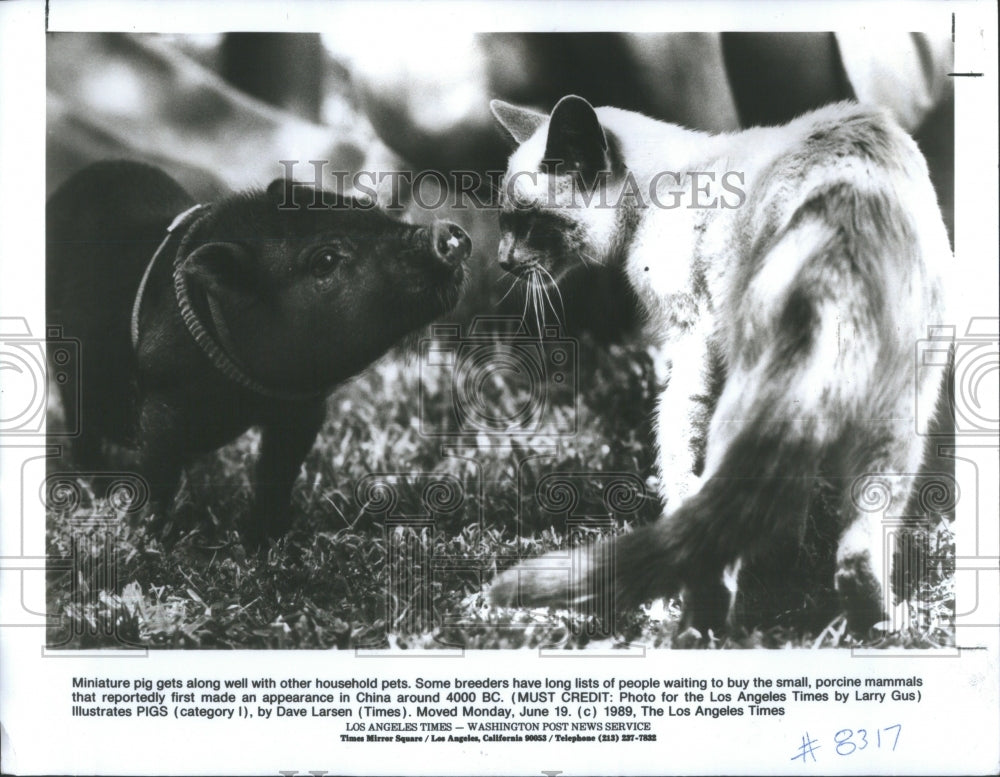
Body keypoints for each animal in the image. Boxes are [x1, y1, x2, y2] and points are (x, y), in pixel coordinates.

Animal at [46, 158, 468, 544]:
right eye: (325, 259)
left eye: (372, 211)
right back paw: (99, 485)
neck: (247, 393)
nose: (447, 232)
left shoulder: (303, 409)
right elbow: (160, 477)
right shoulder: (161, 402)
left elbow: (277, 474)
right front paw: (150, 540)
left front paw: (269, 540)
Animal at [488, 94, 948, 632]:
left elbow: (674, 439)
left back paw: (695, 626)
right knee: (851, 546)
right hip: (897, 422)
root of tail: (846, 223)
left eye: (531, 224)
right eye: (503, 222)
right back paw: (869, 617)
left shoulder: (692, 334)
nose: (501, 261)